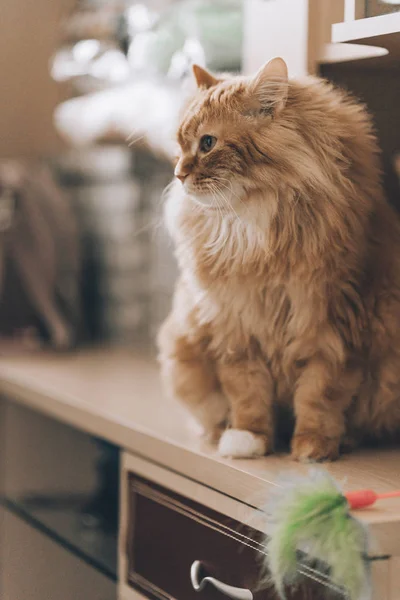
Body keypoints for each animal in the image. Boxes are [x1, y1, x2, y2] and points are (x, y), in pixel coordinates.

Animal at [157, 57, 400, 460]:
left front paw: (312, 447)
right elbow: (247, 395)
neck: (251, 229)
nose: (178, 174)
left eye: (207, 143)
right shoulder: (234, 328)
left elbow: (319, 396)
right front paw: (247, 440)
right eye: (179, 146)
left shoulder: (334, 328)